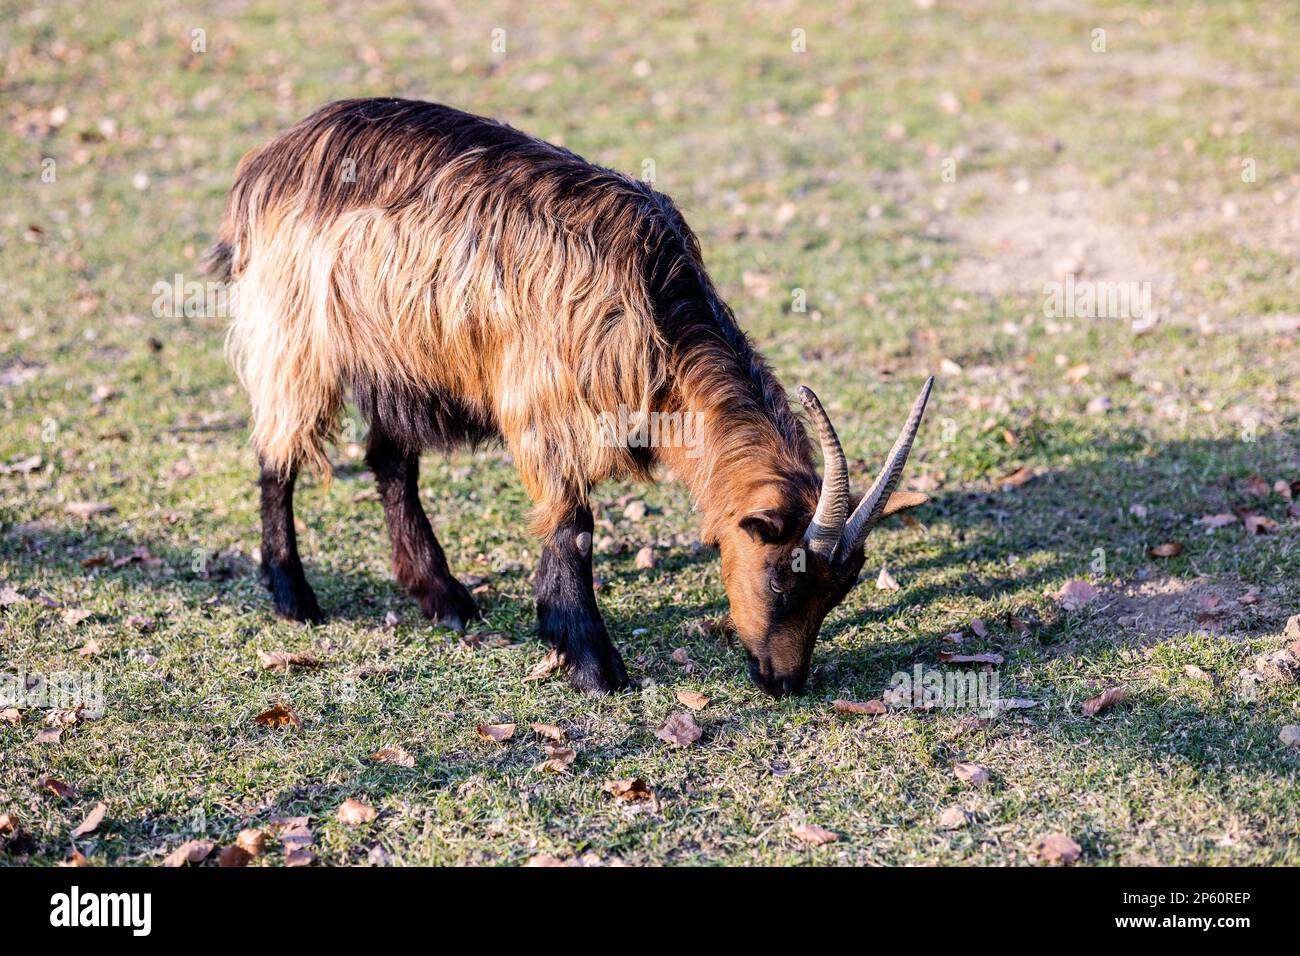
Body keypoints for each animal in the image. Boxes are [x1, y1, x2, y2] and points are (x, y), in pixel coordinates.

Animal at [208, 98, 930, 697]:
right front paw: (591, 661)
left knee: (390, 465)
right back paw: (293, 595)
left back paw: (443, 598)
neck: (655, 309)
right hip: (297, 337)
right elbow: (572, 524)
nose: (783, 682)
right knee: (278, 453)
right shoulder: (544, 406)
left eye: (838, 592)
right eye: (782, 573)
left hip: (402, 361)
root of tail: (270, 159)